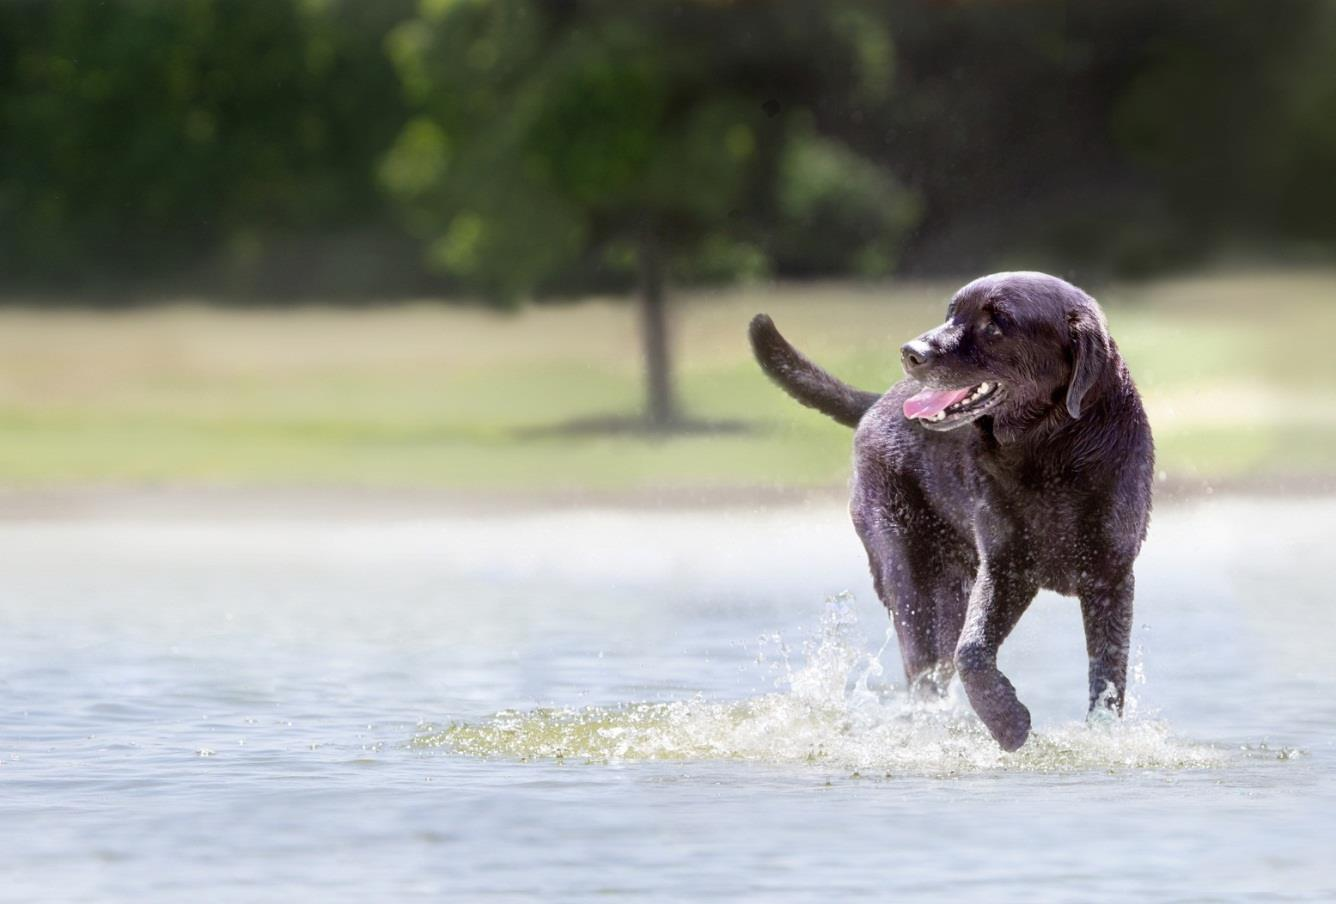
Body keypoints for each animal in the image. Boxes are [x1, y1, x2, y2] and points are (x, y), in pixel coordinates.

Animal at [748, 271, 1154, 753]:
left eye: (995, 325)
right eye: (951, 314)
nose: (911, 352)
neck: (1050, 450)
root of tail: (877, 404)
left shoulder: (1110, 576)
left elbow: (1107, 675)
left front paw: (1102, 737)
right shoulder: (1004, 567)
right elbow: (972, 652)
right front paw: (1009, 724)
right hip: (913, 574)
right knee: (926, 670)